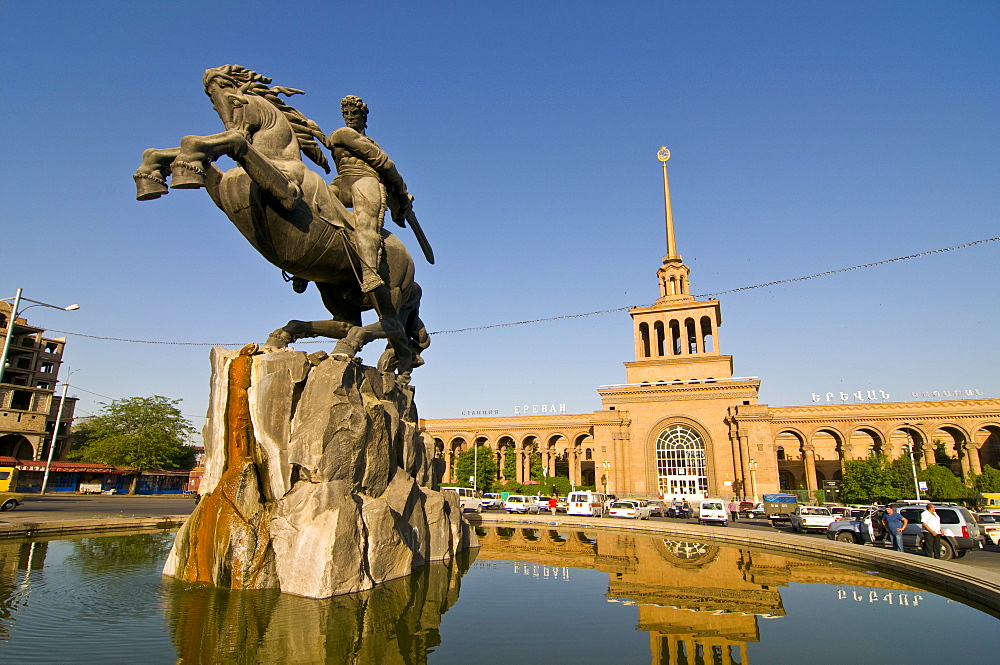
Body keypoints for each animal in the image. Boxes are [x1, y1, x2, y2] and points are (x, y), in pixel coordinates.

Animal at [132, 67, 426, 382]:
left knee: (391, 326)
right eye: (214, 105)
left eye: (235, 101)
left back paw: (358, 352)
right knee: (354, 326)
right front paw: (157, 174)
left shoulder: (287, 194)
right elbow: (190, 148)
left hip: (387, 290)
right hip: (333, 288)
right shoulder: (222, 193)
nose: (235, 129)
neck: (279, 157)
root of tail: (411, 266)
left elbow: (232, 145)